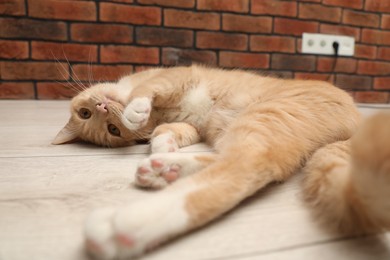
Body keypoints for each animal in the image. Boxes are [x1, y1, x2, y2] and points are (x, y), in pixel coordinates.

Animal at [52, 65, 390, 258]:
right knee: (236, 161)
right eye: (110, 129)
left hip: (263, 117)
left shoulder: (172, 77)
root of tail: (356, 122)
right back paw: (164, 169)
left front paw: (135, 110)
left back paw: (126, 223)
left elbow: (145, 90)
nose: (103, 106)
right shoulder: (190, 126)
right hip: (244, 125)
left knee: (245, 164)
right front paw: (161, 145)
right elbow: (167, 131)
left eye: (88, 114)